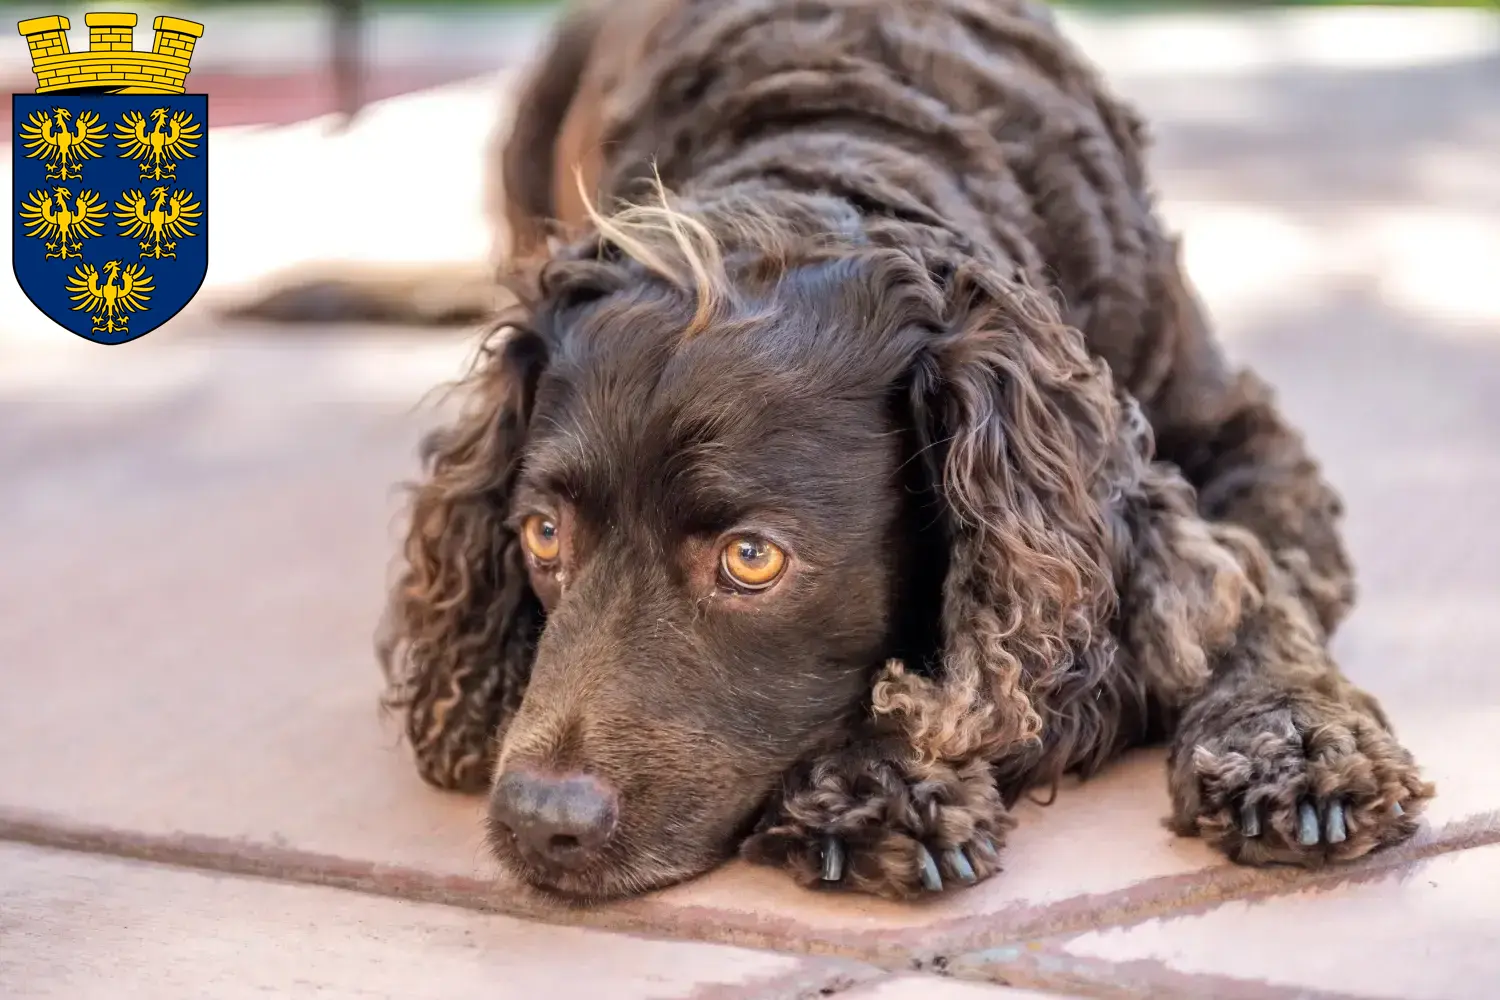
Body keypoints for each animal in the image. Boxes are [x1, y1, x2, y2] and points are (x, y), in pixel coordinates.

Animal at [369, 0, 1434, 905]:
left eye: (752, 559)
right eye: (543, 536)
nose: (538, 821)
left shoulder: (1244, 445)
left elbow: (1256, 593)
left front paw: (1295, 742)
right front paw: (879, 779)